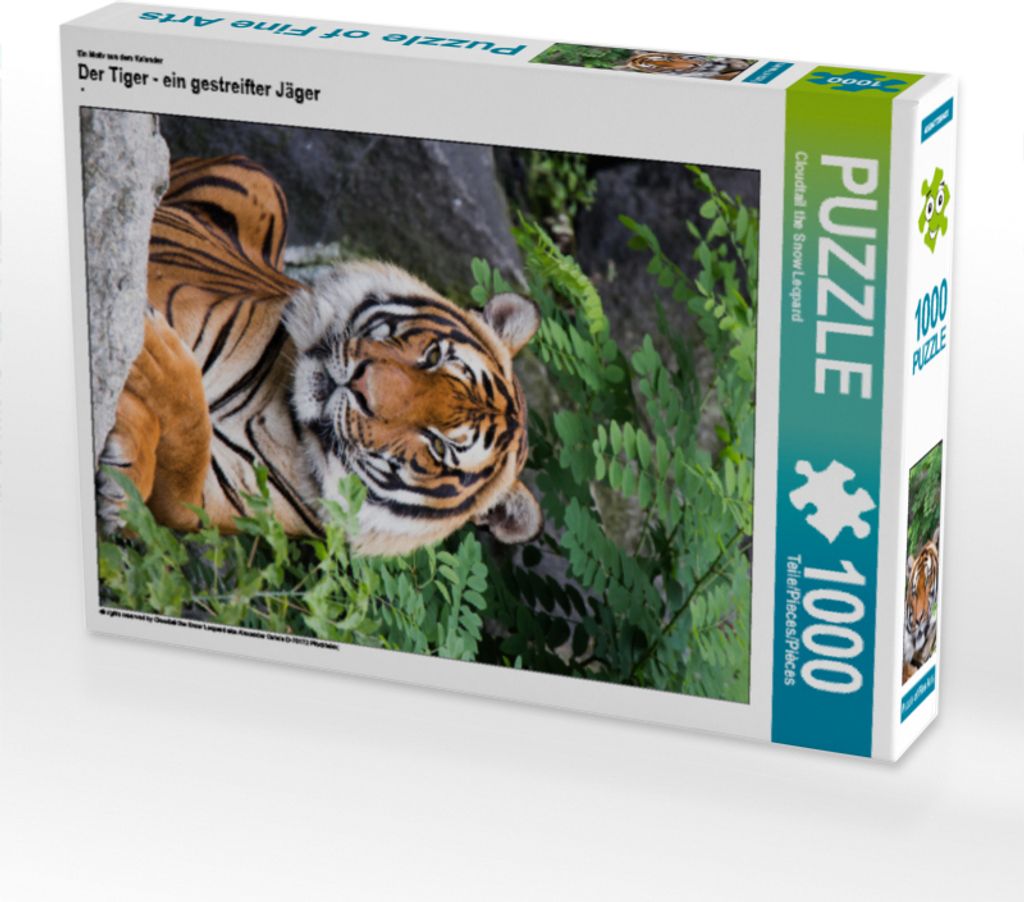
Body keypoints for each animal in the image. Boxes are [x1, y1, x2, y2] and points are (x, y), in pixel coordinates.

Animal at [97, 154, 543, 557]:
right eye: (433, 355)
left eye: (438, 447)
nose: (361, 384)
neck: (282, 418)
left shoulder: (203, 506)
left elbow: (187, 453)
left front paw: (121, 485)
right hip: (264, 183)